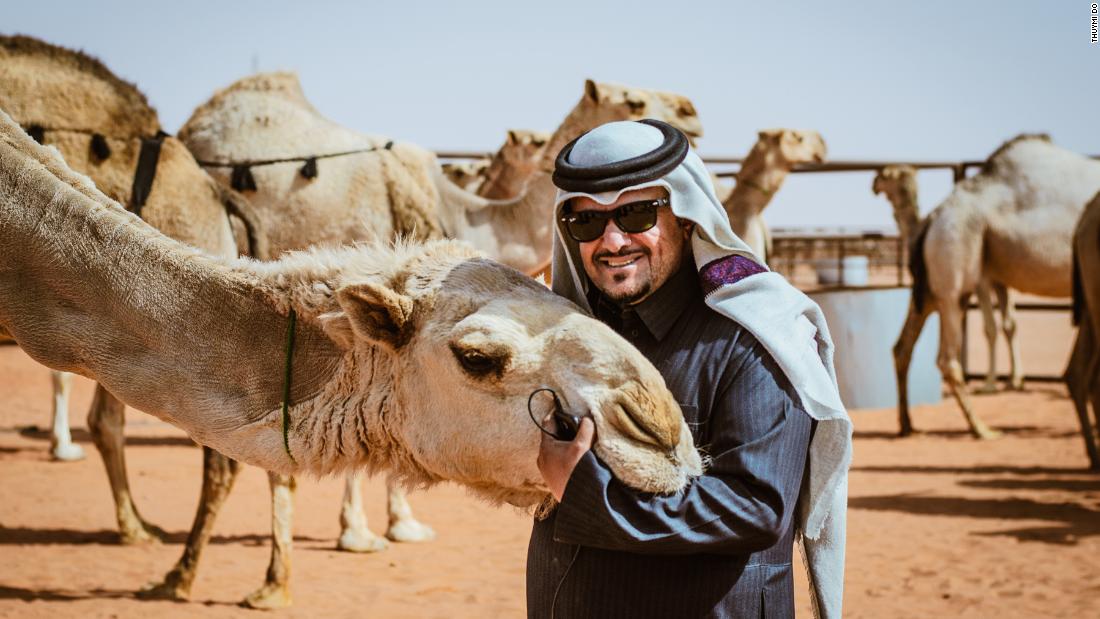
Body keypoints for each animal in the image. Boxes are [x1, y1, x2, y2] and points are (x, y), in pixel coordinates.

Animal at [888, 136, 1100, 439]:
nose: (877, 185)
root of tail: (934, 218)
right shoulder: (988, 278)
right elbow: (996, 326)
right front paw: (1000, 383)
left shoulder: (995, 277)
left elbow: (1007, 323)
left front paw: (1013, 380)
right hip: (957, 263)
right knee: (947, 358)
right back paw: (981, 428)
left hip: (931, 285)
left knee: (902, 347)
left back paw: (908, 424)